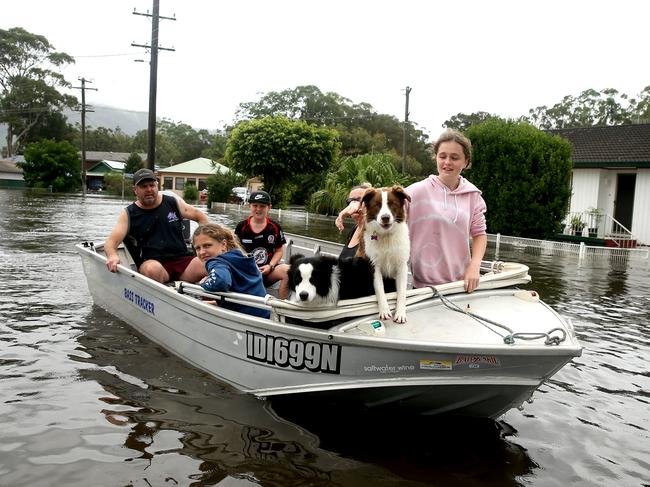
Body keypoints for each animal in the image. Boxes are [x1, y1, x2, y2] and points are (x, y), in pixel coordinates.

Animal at [354, 186, 410, 324]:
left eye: (392, 204)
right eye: (377, 205)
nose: (385, 217)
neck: (386, 236)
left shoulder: (402, 265)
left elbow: (402, 292)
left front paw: (400, 313)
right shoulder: (373, 265)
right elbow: (380, 289)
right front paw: (384, 311)